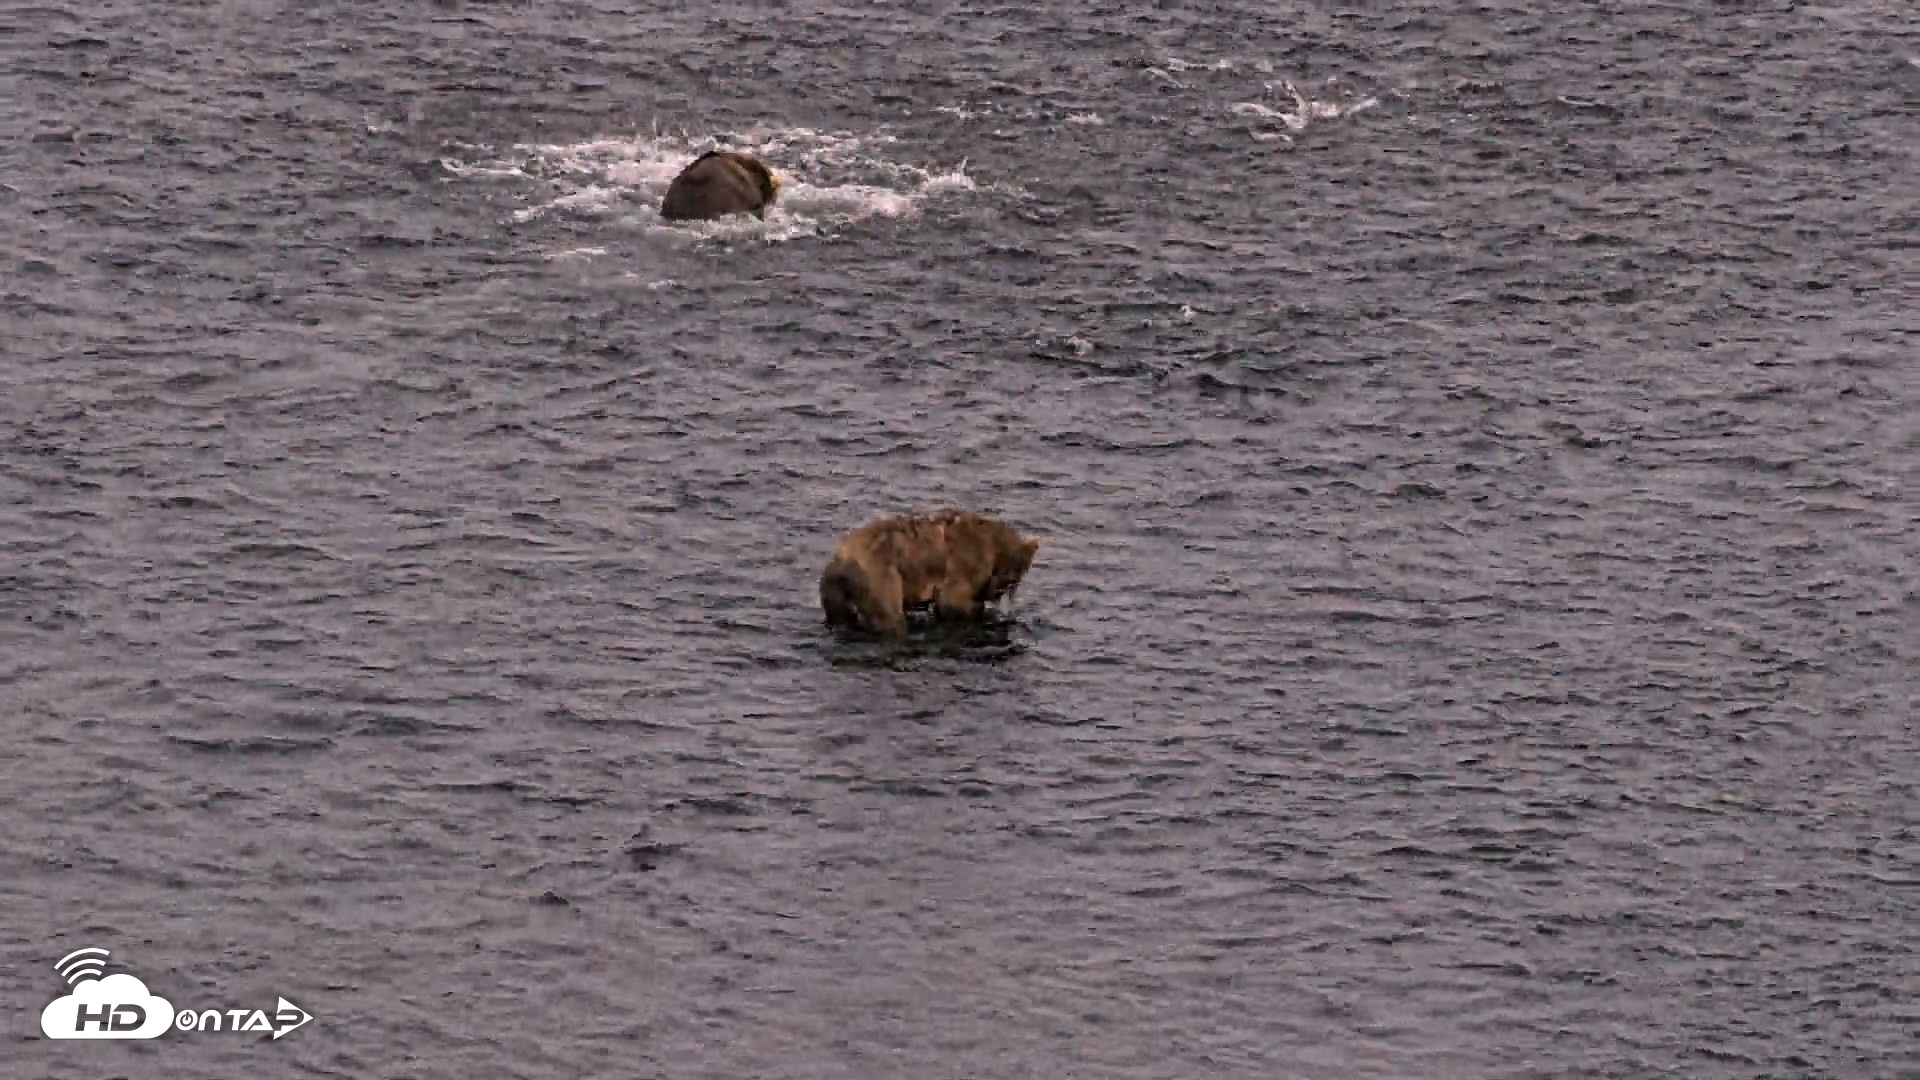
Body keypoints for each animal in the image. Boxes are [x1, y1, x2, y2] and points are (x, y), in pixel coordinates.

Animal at [819, 510, 1042, 639]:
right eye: (1015, 578)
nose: (999, 593)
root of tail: (840, 558)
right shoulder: (963, 565)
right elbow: (953, 603)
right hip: (880, 575)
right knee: (890, 617)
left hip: (836, 590)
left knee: (840, 616)